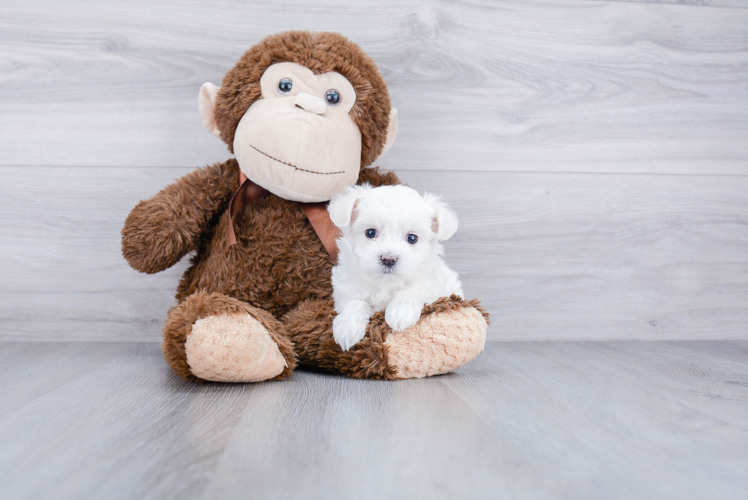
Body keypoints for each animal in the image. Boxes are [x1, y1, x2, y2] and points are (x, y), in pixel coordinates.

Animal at [328, 184, 462, 352]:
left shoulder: (433, 283)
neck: (386, 282)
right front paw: (347, 327)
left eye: (412, 238)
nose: (389, 259)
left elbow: (412, 289)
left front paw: (401, 312)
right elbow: (354, 301)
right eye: (370, 232)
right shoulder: (345, 288)